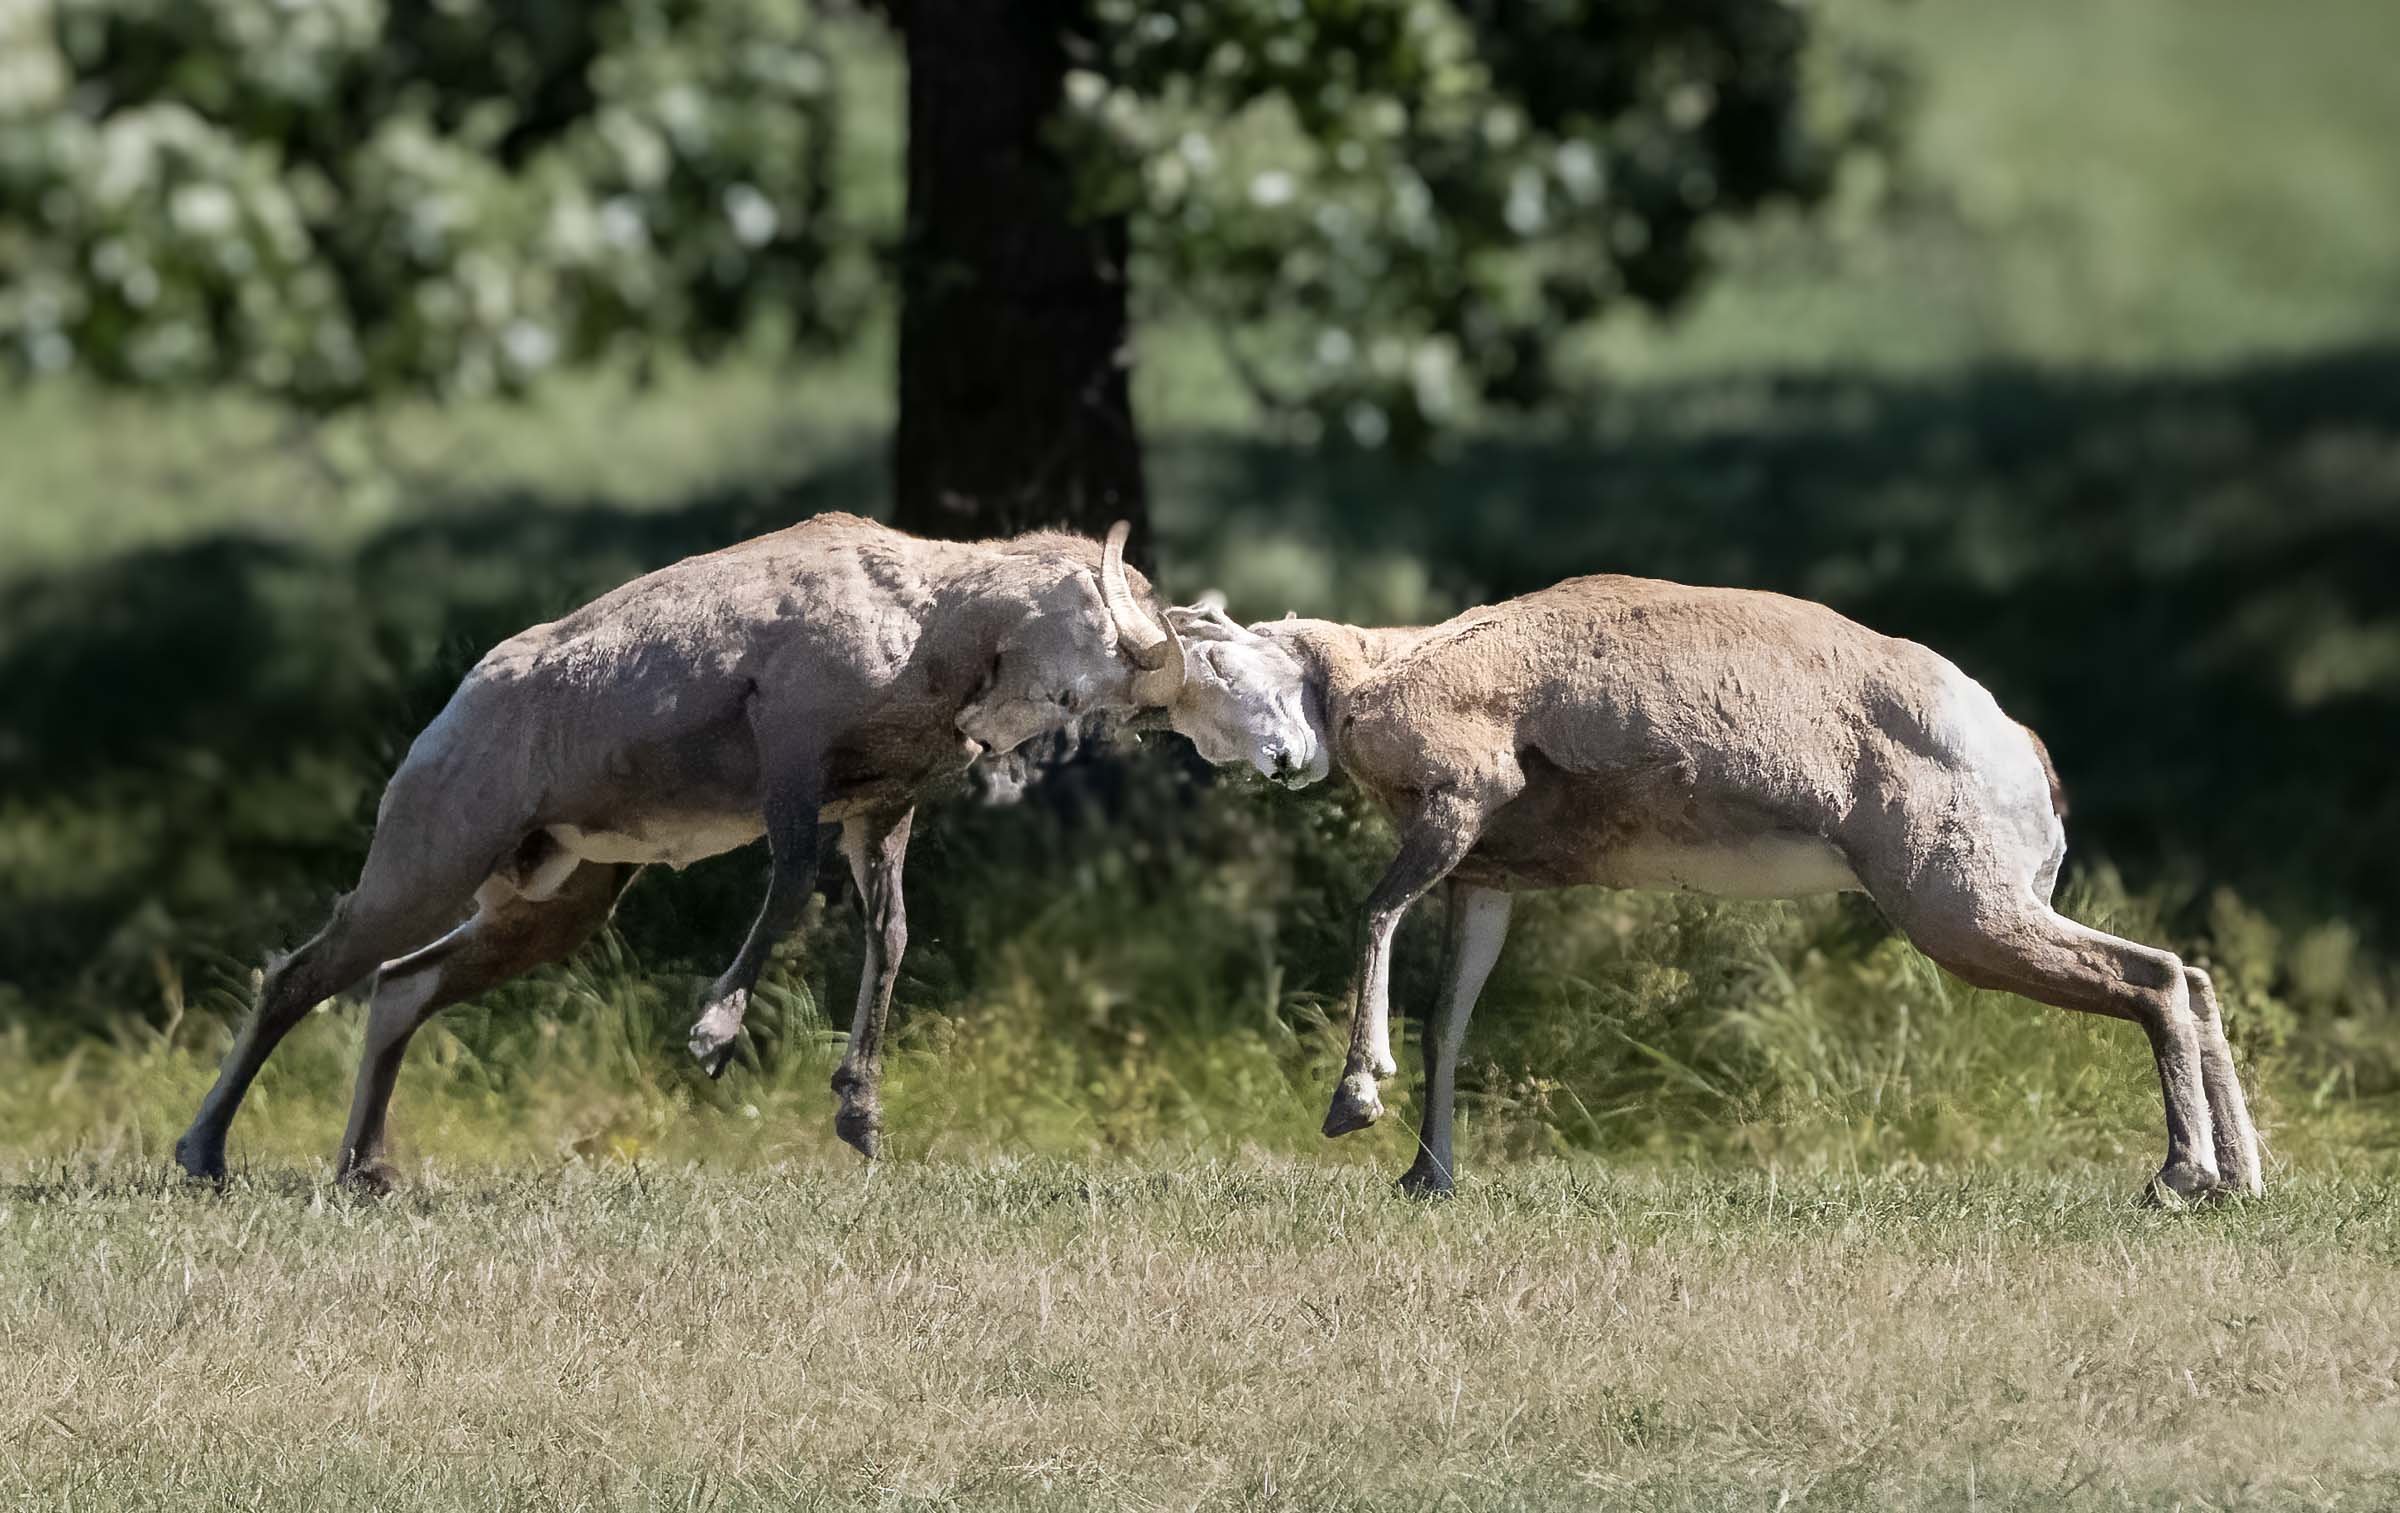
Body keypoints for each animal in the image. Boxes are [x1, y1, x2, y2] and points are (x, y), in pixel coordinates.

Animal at [175, 513, 1322, 1188]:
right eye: (1225, 666)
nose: (1295, 757)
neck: (927, 619)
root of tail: (454, 710)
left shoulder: (881, 811)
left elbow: (889, 937)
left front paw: (860, 1118)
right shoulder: (792, 758)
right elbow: (789, 893)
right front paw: (714, 1038)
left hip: (553, 904)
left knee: (400, 987)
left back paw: (365, 1173)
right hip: (429, 865)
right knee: (298, 977)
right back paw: (204, 1156)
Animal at [1174, 578, 2263, 1205]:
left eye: (1218, 661)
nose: (1275, 762)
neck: (1397, 662)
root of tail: (2014, 743)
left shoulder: (1456, 809)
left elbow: (1375, 918)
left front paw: (1353, 1102)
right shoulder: (1481, 879)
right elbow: (1449, 1019)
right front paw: (1425, 1179)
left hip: (1964, 916)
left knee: (2155, 978)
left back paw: (2180, 1178)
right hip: (1990, 909)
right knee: (2192, 976)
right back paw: (2239, 1181)